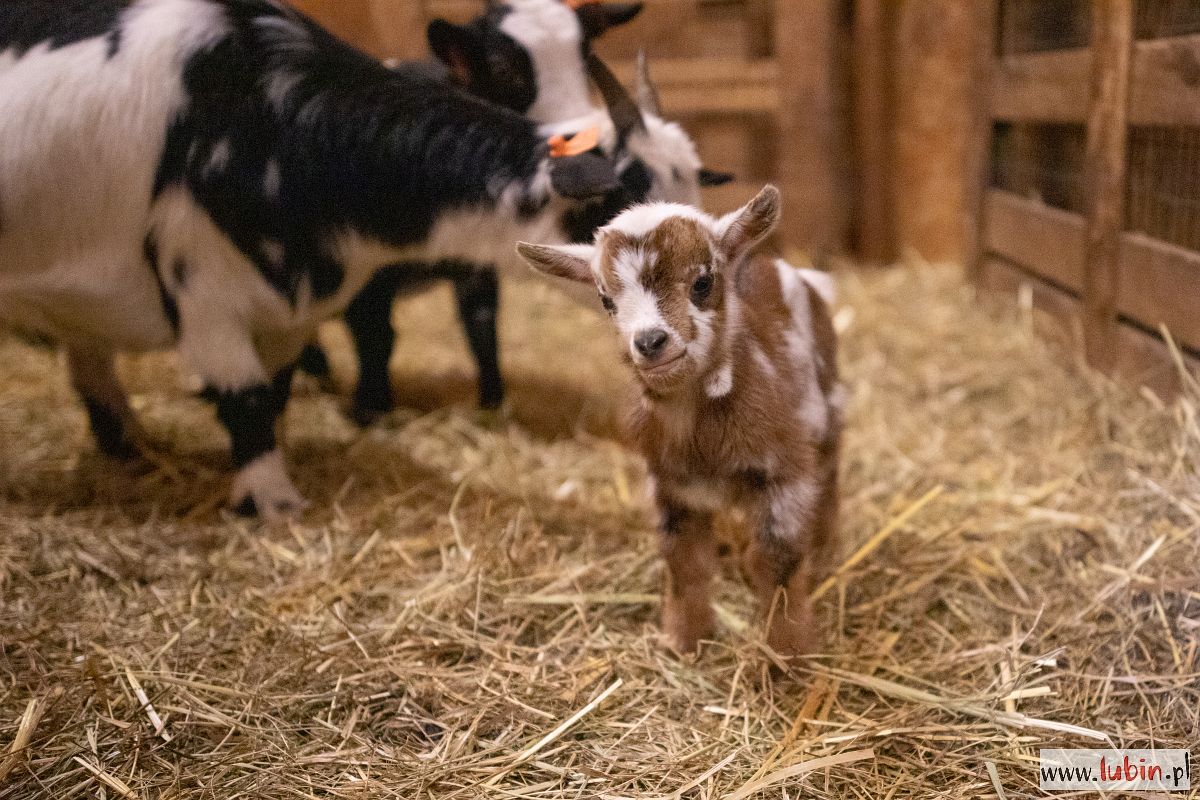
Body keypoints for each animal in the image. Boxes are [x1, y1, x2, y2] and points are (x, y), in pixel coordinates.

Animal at [0, 0, 638, 515]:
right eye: (612, 213)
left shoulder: (294, 310)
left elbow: (278, 391)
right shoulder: (203, 289)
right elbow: (250, 399)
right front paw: (274, 504)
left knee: (90, 364)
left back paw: (130, 445)